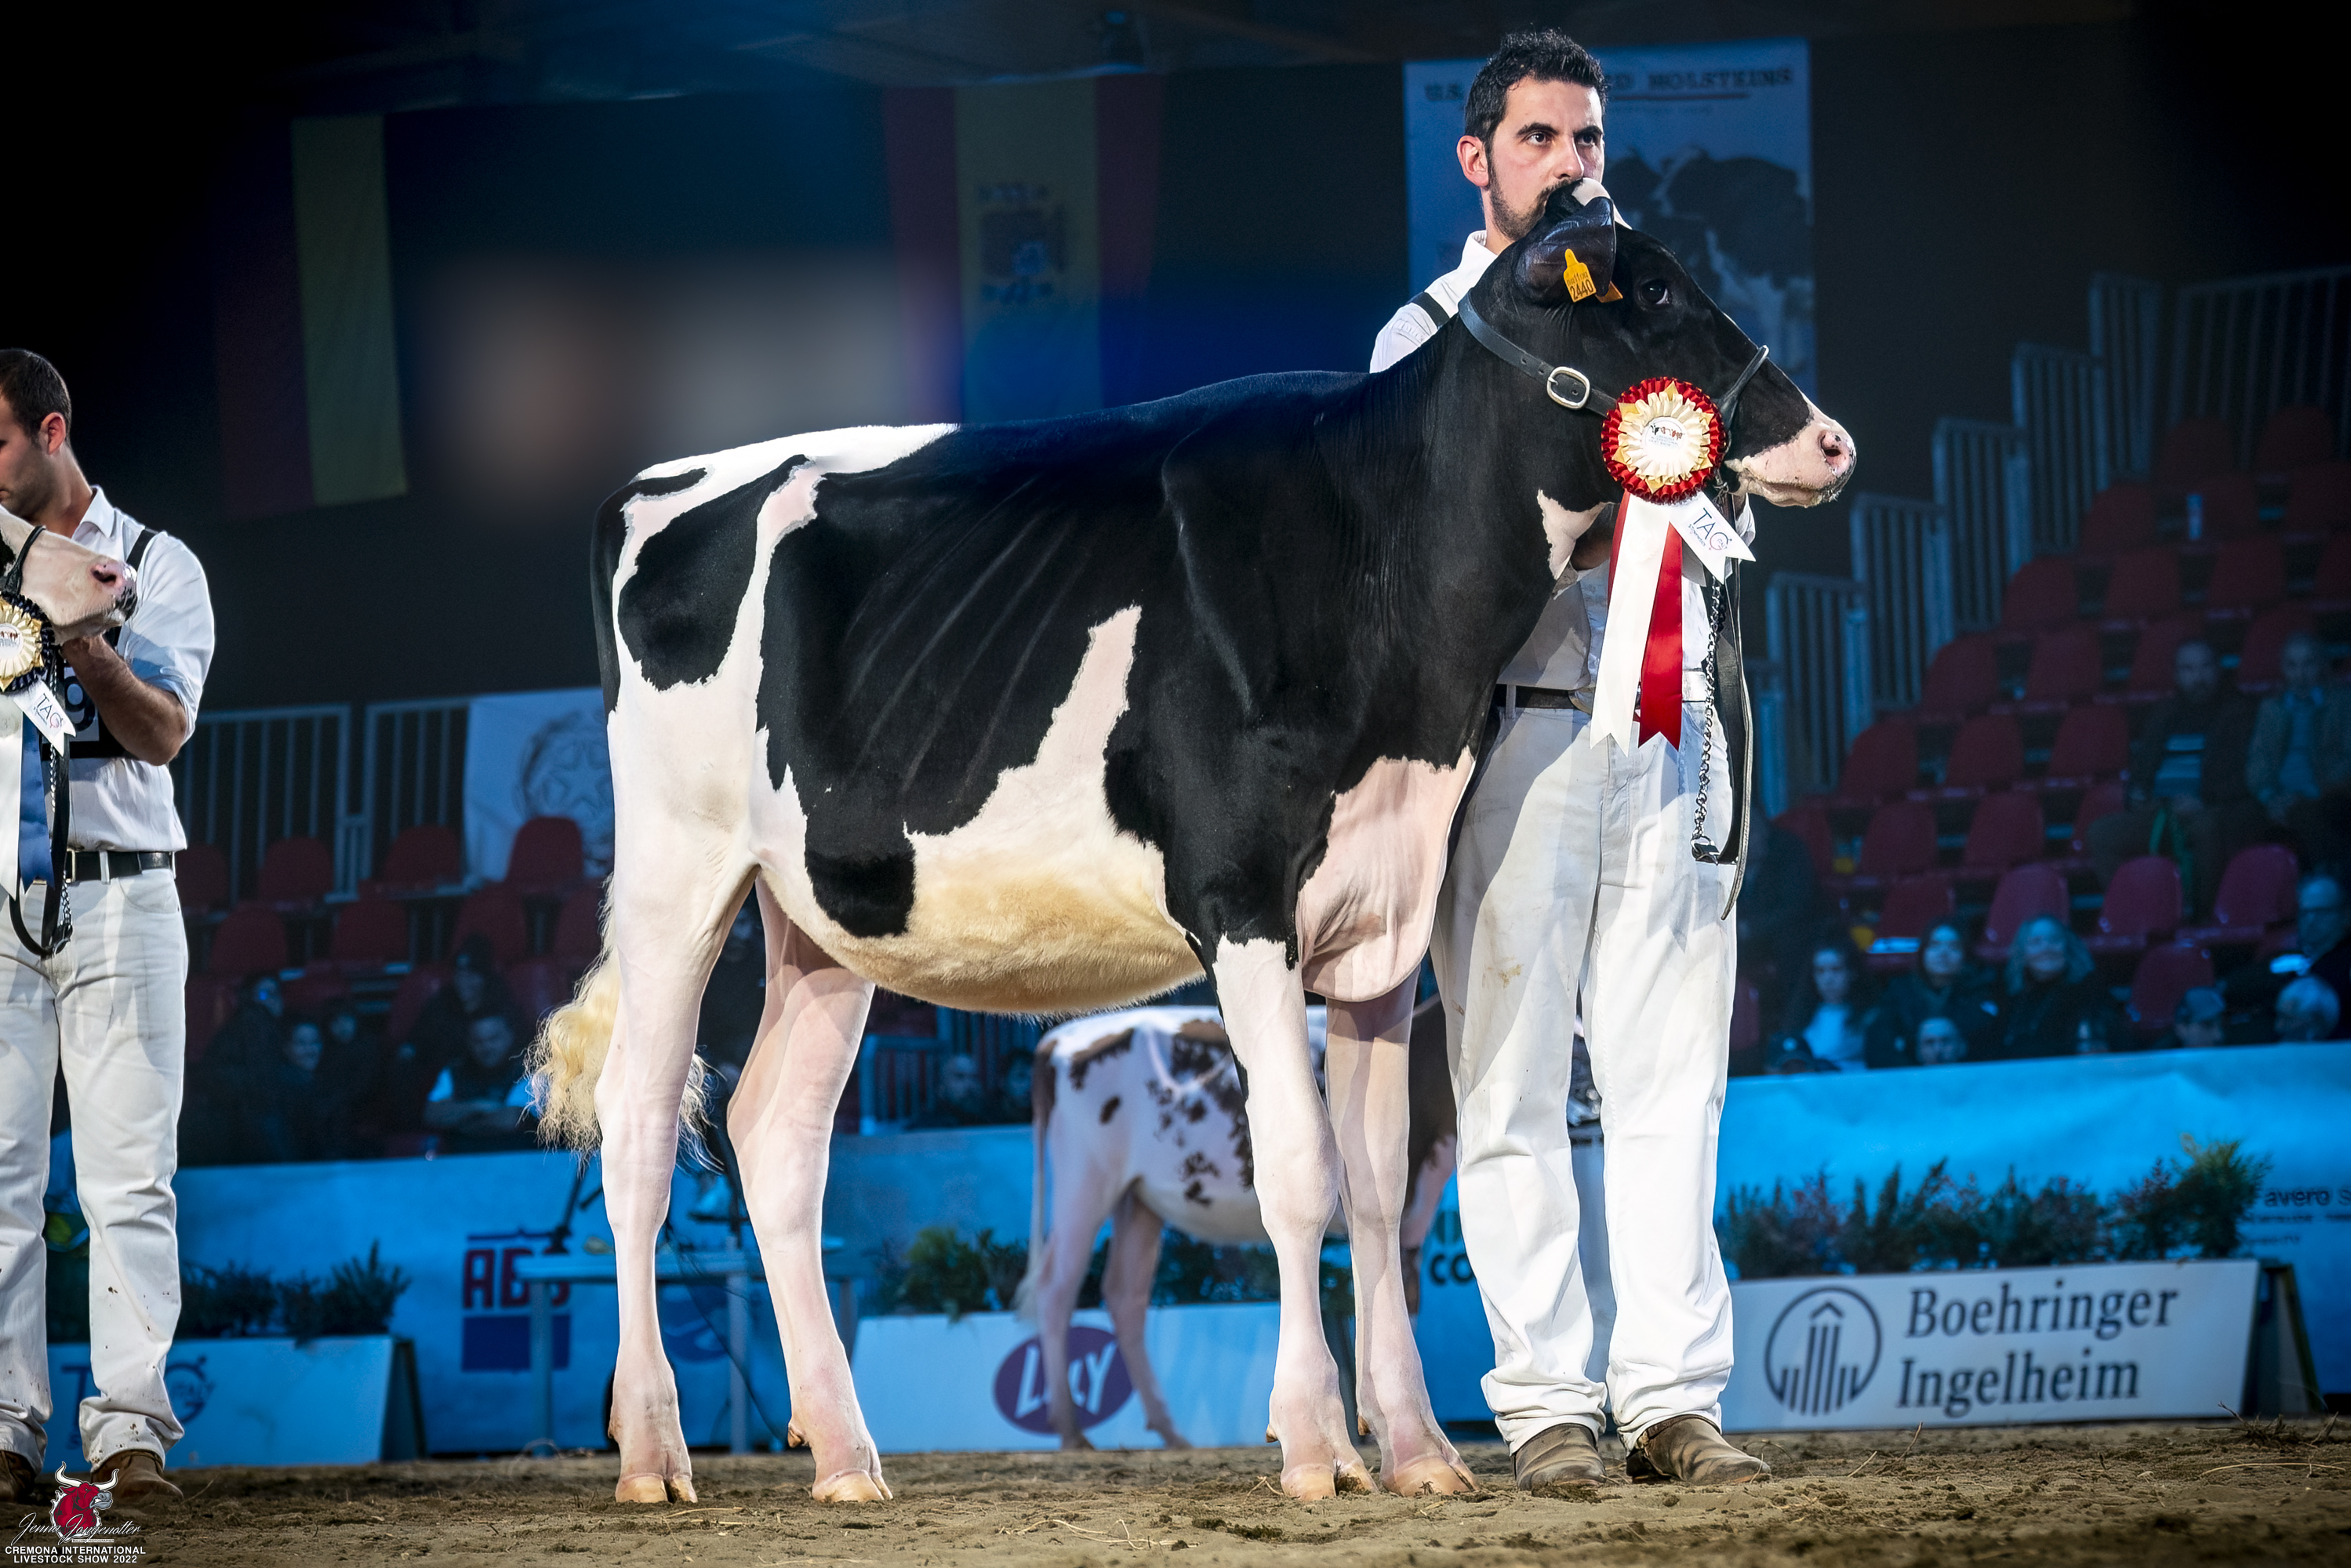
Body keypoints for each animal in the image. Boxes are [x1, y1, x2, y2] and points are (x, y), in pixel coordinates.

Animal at [1019, 996, 1458, 1459]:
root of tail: (1060, 1037)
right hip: (1085, 1180)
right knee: (1057, 1285)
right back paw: (1072, 1432)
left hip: (1137, 1200)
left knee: (1125, 1294)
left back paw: (1170, 1432)